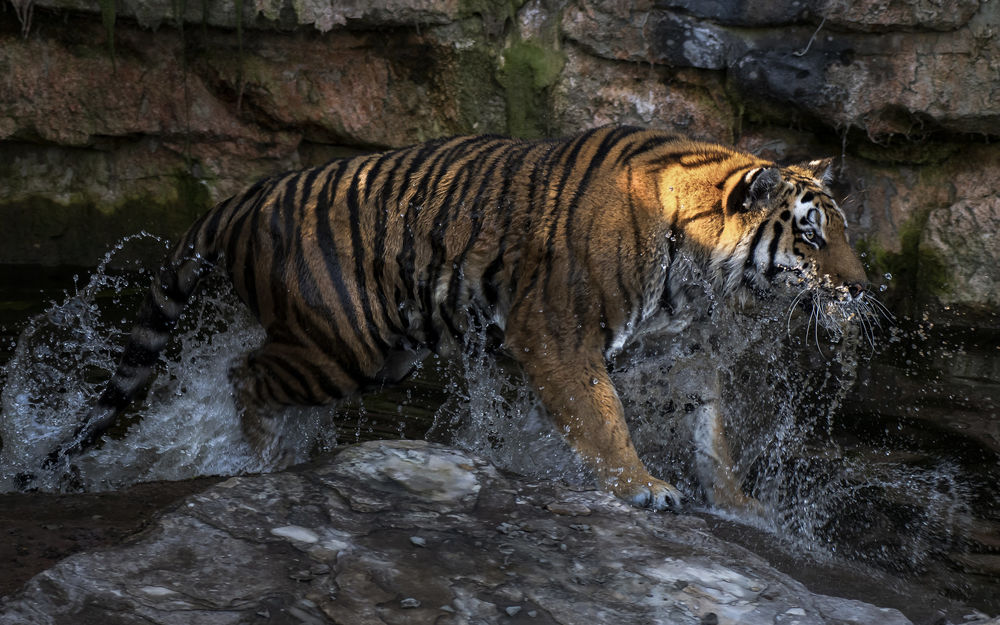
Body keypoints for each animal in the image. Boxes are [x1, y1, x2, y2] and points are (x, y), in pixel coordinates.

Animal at [45, 125, 873, 511]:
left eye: (844, 230)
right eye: (810, 235)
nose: (866, 289)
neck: (700, 271)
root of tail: (244, 195)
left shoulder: (679, 352)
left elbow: (711, 432)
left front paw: (739, 503)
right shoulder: (557, 334)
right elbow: (604, 417)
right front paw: (644, 487)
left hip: (379, 353)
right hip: (344, 344)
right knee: (242, 373)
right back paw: (258, 459)